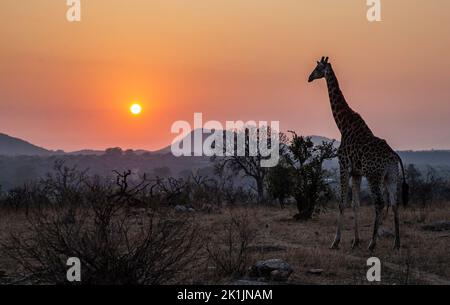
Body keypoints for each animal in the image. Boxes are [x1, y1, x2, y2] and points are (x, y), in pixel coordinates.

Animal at [310, 56, 408, 249]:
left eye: (317, 68)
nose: (309, 78)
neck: (342, 123)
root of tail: (394, 156)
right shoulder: (356, 172)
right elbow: (356, 204)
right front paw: (355, 240)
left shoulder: (344, 166)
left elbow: (342, 203)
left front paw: (335, 241)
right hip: (391, 176)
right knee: (394, 203)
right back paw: (396, 243)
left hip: (374, 175)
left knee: (380, 203)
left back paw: (372, 243)